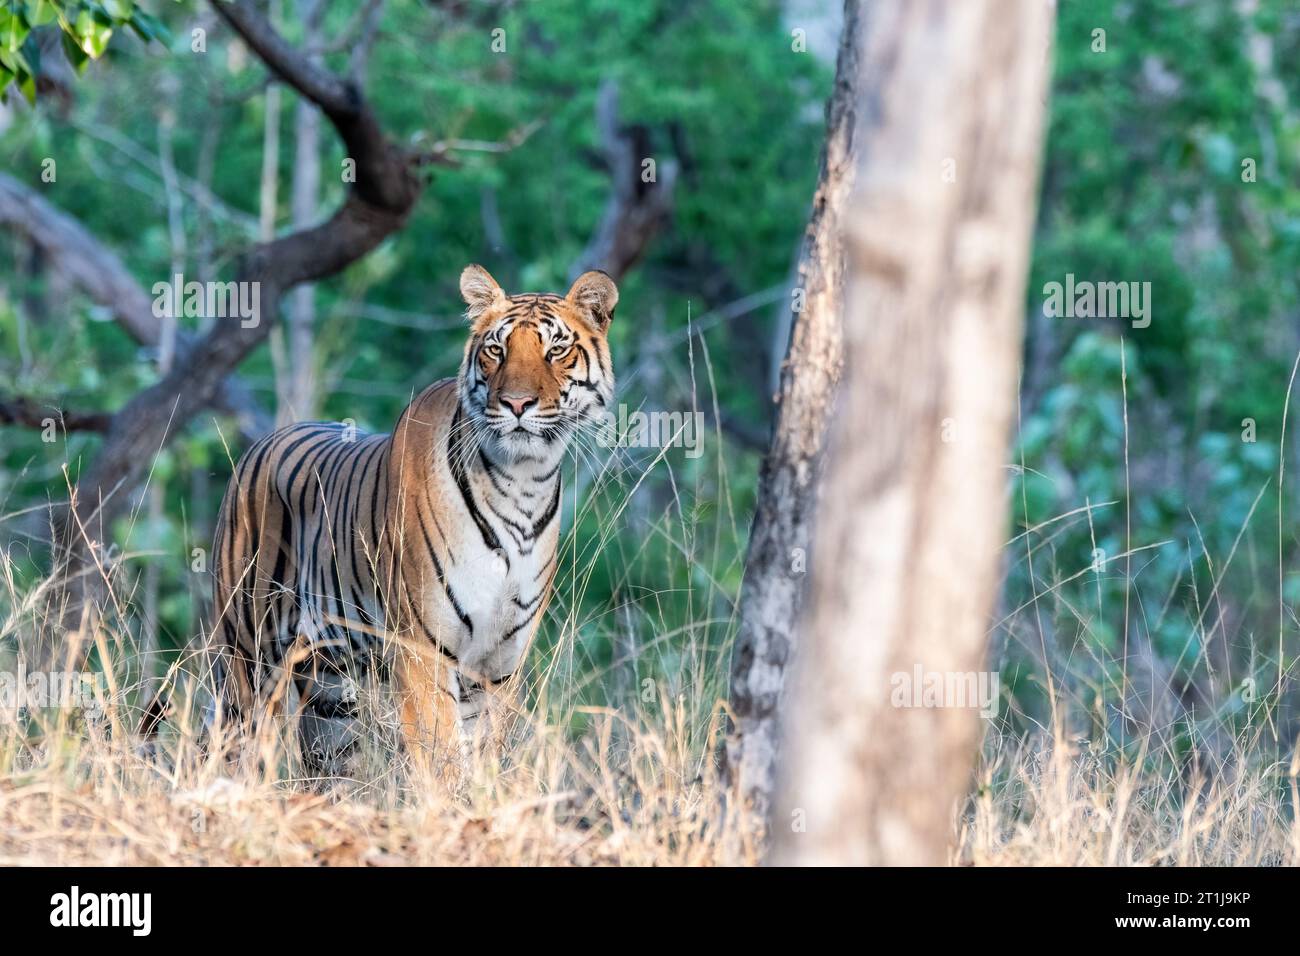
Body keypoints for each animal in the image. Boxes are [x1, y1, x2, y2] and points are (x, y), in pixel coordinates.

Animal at [210, 265, 616, 780]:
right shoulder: (424, 650)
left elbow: (482, 754)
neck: (522, 482)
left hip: (332, 693)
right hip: (249, 660)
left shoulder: (499, 662)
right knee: (233, 748)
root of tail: (260, 444)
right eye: (496, 350)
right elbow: (442, 753)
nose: (517, 404)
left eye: (556, 350)